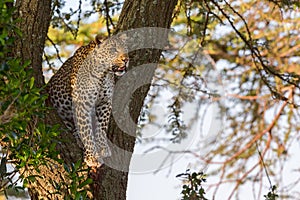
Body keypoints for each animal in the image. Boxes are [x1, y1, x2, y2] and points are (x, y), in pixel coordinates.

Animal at [47, 34, 127, 167]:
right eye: (113, 50)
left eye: (125, 49)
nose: (126, 59)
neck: (103, 74)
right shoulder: (82, 103)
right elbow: (86, 130)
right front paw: (92, 157)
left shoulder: (105, 102)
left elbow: (102, 126)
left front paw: (102, 148)